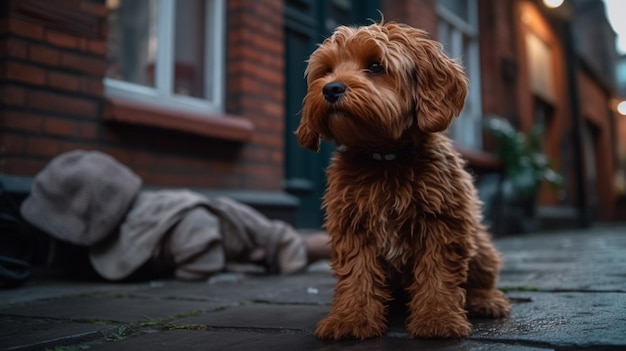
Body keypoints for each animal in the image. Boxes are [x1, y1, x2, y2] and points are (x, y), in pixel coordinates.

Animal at [294, 21, 510, 340]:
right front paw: (350, 319)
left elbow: (437, 274)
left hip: (480, 245)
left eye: (375, 66)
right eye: (327, 70)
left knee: (480, 280)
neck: (386, 159)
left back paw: (486, 300)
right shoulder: (354, 227)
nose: (331, 88)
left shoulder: (442, 225)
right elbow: (357, 275)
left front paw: (437, 318)